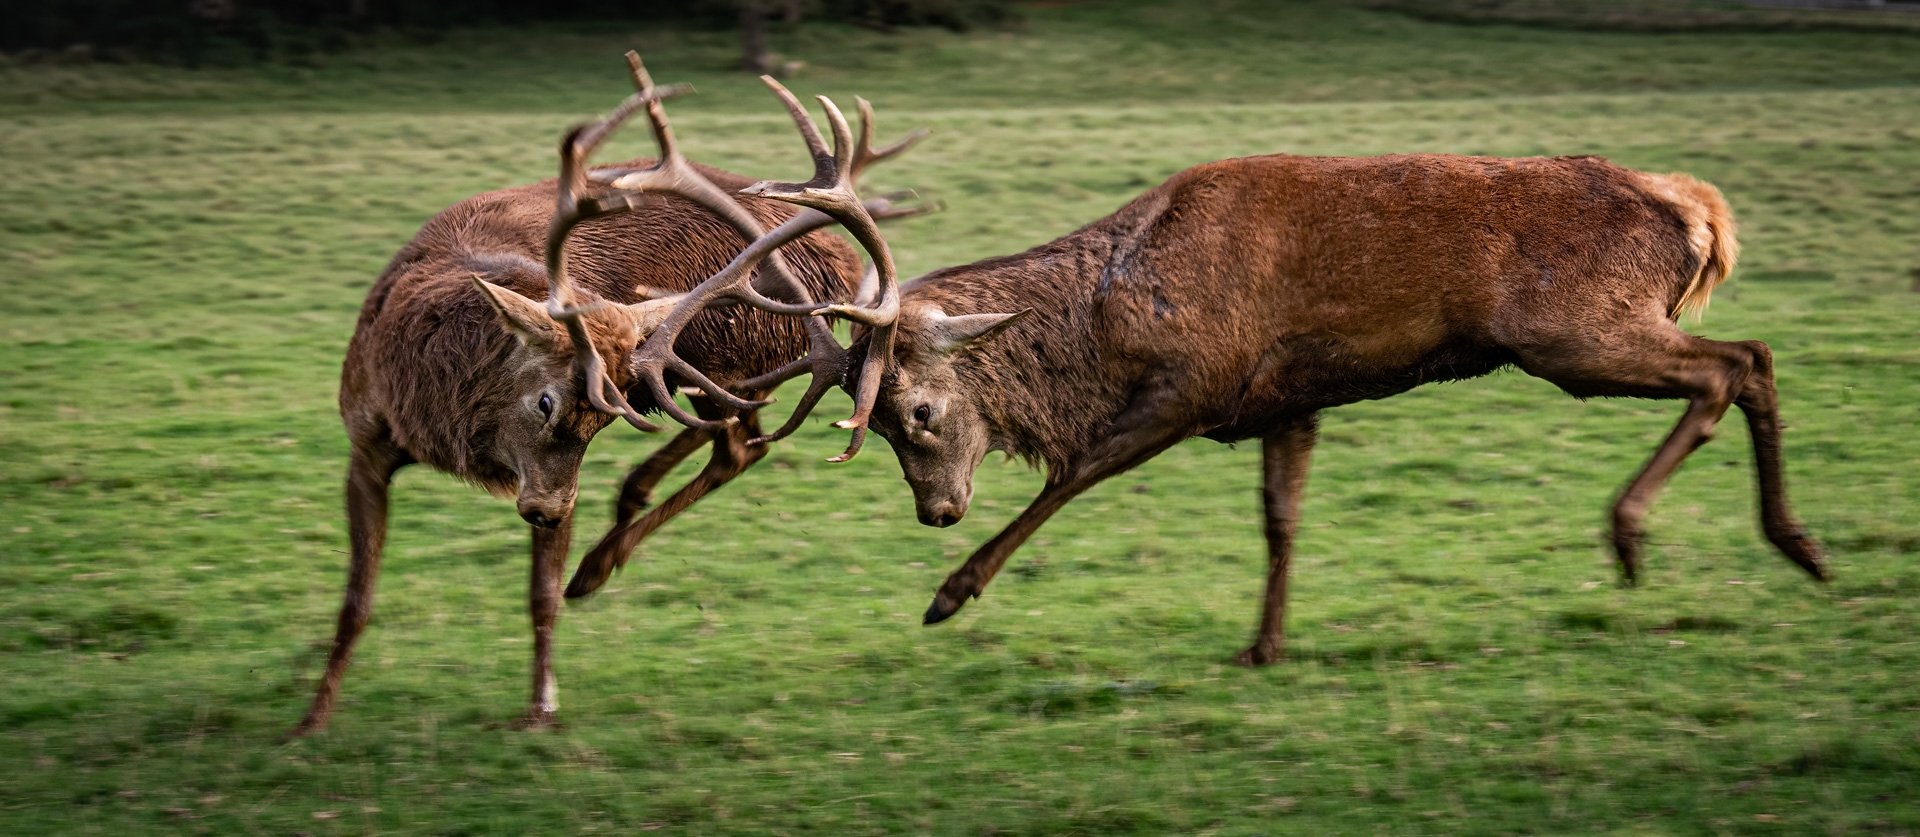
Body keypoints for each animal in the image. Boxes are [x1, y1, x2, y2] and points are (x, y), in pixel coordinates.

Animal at [291, 53, 929, 733]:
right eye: (544, 402)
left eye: (601, 422)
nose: (548, 512)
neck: (431, 411)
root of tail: (840, 261)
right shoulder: (365, 440)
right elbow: (355, 601)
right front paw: (312, 719)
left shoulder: (557, 468)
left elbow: (540, 594)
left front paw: (541, 709)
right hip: (696, 366)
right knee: (740, 435)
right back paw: (609, 541)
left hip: (718, 351)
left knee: (738, 437)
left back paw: (595, 565)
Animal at [564, 146, 1827, 664]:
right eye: (873, 433)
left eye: (912, 415)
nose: (936, 513)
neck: (1115, 315)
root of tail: (1698, 208)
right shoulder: (1287, 397)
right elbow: (1283, 521)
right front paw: (1266, 643)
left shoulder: (1204, 379)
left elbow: (1075, 472)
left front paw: (951, 595)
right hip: (1593, 331)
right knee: (1752, 357)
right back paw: (1783, 544)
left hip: (1574, 332)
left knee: (1738, 360)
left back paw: (1655, 533)